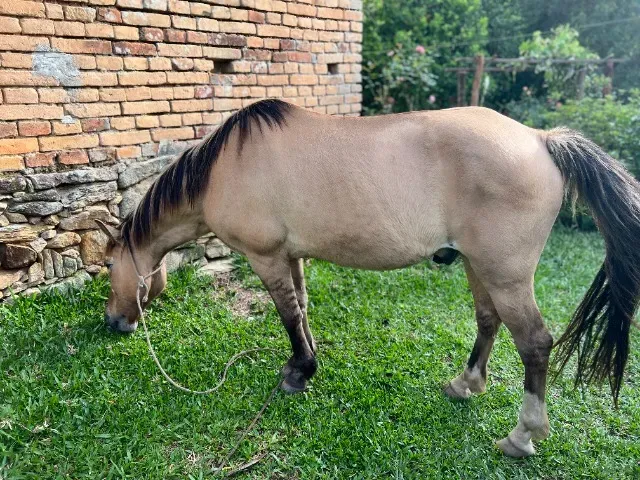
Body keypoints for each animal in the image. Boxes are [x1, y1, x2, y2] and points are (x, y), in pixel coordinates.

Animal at [97, 98, 640, 458]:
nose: (114, 323)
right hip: (478, 266)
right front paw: (308, 361)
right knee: (488, 321)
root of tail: (541, 140)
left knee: (534, 343)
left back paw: (523, 435)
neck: (223, 169)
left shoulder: (265, 257)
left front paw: (297, 373)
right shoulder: (293, 256)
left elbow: (286, 313)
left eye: (108, 267)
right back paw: (464, 385)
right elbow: (302, 307)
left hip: (505, 276)